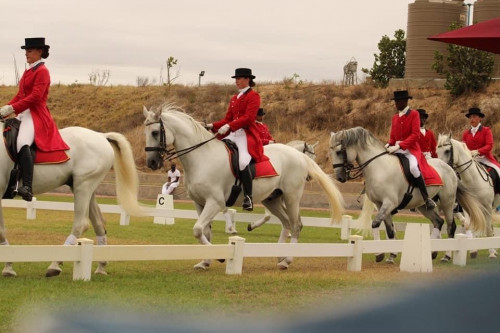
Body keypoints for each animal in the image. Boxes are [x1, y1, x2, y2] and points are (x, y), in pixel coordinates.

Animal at [0, 123, 145, 276]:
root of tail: (101, 136)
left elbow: (1, 231)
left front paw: (8, 266)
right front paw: (8, 266)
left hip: (83, 185)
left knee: (81, 224)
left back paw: (55, 265)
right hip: (86, 188)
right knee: (99, 223)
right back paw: (101, 266)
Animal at [143, 105, 342, 268]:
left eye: (155, 132)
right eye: (147, 133)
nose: (151, 163)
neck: (202, 157)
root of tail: (298, 156)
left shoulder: (214, 202)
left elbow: (198, 229)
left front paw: (220, 257)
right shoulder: (199, 203)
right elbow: (204, 232)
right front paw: (206, 261)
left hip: (292, 197)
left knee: (296, 225)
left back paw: (287, 260)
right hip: (273, 199)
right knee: (286, 222)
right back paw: (280, 255)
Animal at [330, 126, 486, 262]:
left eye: (338, 152)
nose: (340, 177)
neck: (379, 167)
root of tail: (449, 168)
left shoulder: (389, 203)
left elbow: (375, 223)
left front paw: (379, 254)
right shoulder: (380, 205)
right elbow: (390, 230)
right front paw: (390, 255)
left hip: (447, 202)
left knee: (450, 226)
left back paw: (446, 256)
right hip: (423, 205)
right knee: (438, 222)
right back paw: (432, 251)